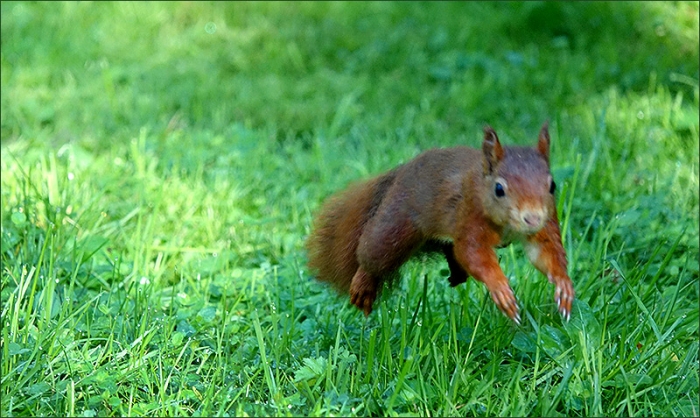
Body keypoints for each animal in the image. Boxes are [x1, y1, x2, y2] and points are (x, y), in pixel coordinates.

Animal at [306, 122, 574, 324]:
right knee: (373, 253)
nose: (532, 218)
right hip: (395, 225)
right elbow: (474, 253)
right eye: (499, 189)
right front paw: (500, 289)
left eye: (552, 185)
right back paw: (363, 286)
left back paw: (457, 272)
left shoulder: (545, 225)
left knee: (450, 249)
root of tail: (402, 171)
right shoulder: (469, 216)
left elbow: (545, 253)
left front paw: (563, 285)